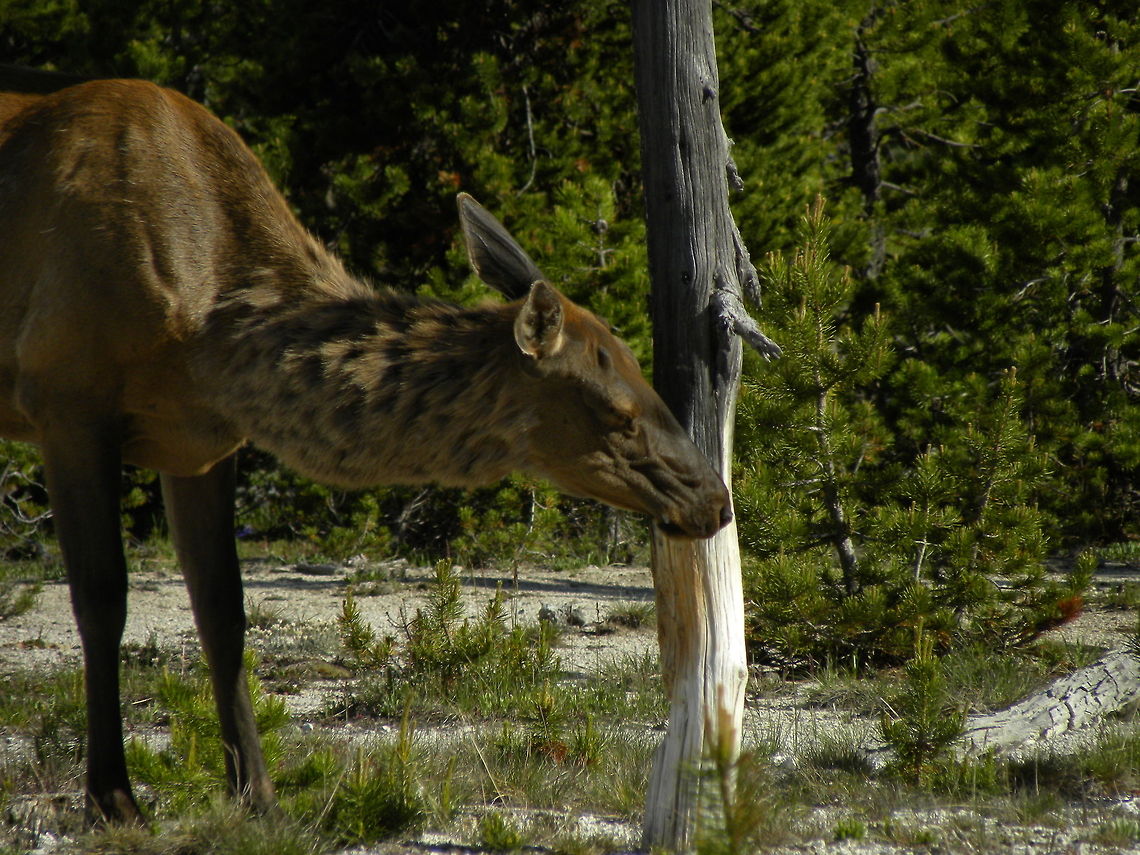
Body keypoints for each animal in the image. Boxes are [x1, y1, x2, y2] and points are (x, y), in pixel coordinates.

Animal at [0, 69, 732, 825]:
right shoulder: (64, 398)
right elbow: (101, 599)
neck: (205, 336)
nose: (715, 499)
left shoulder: (201, 440)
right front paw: (113, 798)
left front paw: (259, 795)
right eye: (619, 411)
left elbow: (223, 612)